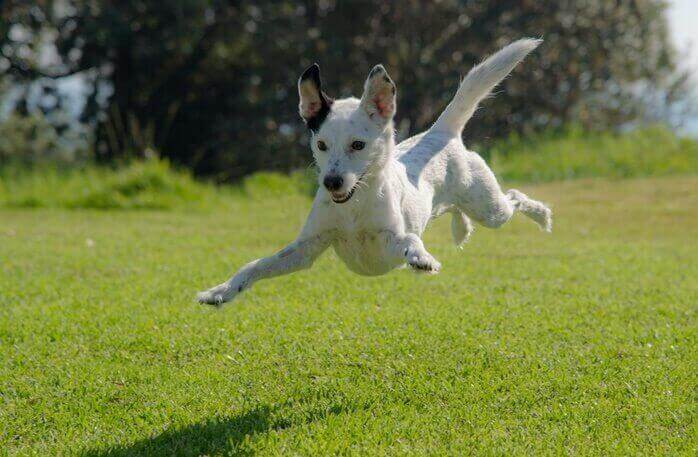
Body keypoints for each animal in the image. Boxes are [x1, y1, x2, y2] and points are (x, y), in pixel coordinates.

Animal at [196, 38, 548, 302]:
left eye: (358, 145)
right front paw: (221, 291)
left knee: (514, 197)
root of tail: (440, 132)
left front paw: (421, 258)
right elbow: (255, 265)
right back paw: (461, 228)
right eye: (321, 145)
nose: (332, 182)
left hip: (489, 208)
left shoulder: (389, 241)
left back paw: (542, 215)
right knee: (455, 210)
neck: (354, 208)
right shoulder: (305, 249)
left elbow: (410, 241)